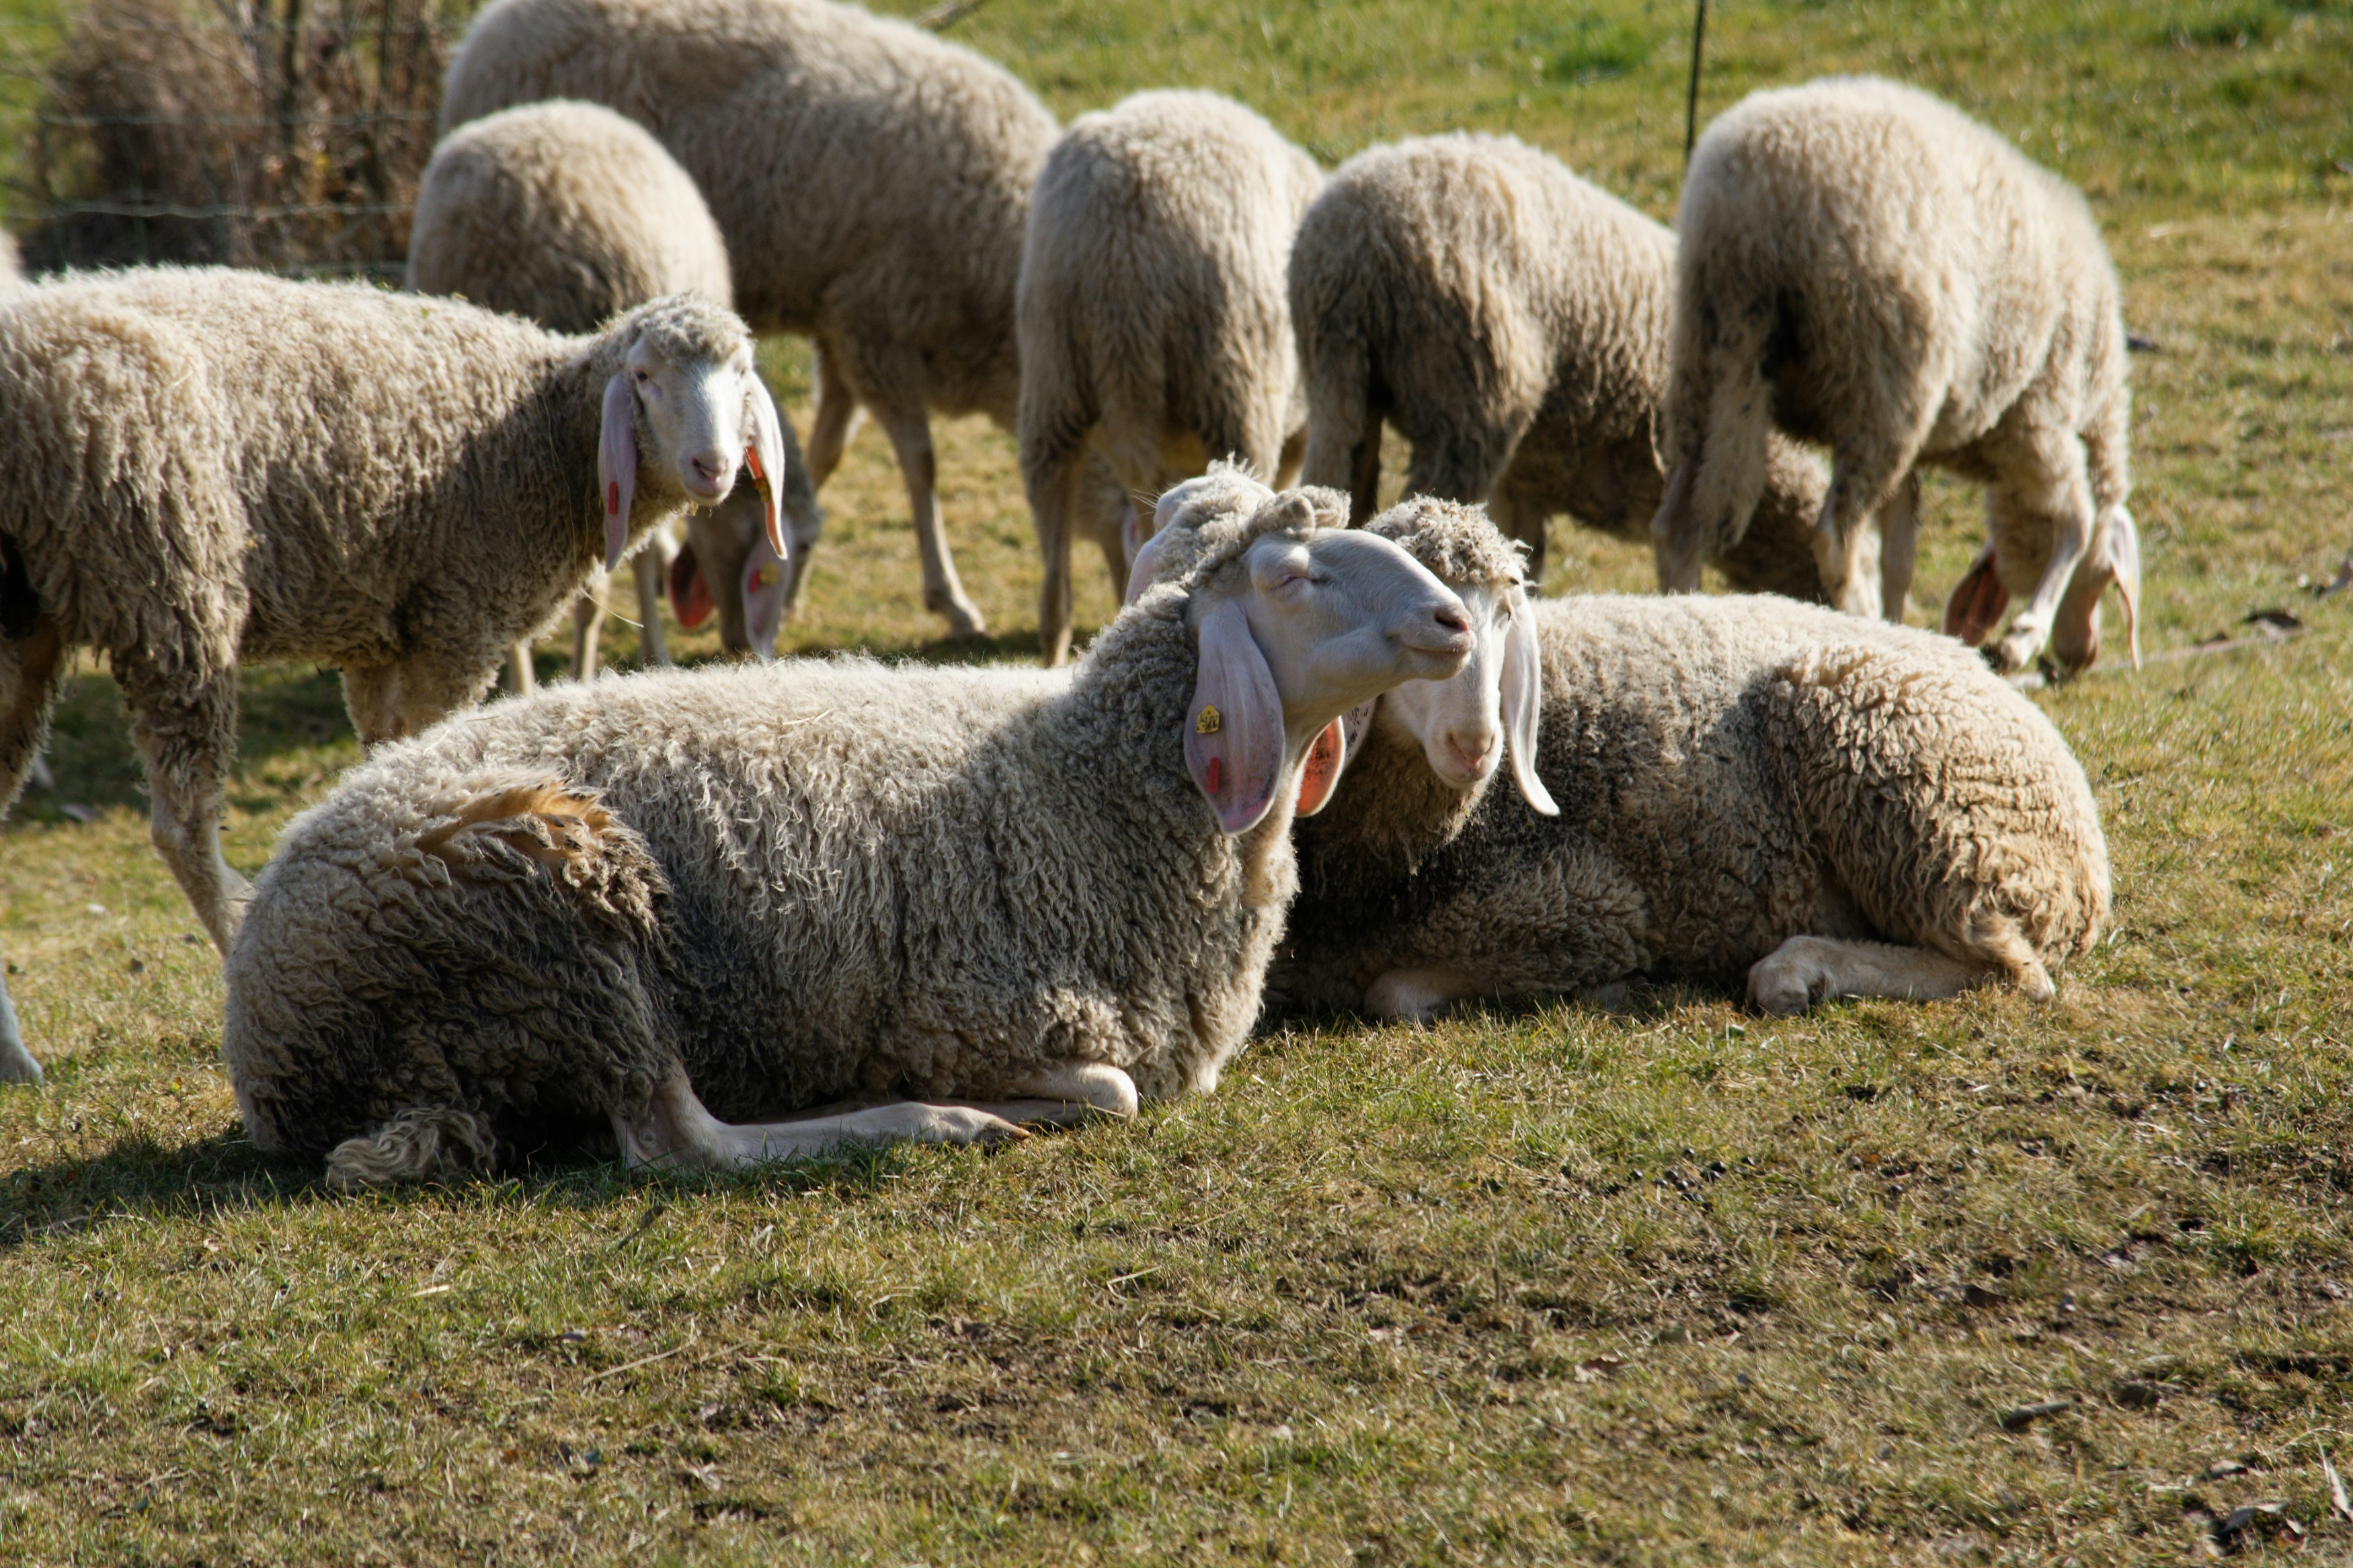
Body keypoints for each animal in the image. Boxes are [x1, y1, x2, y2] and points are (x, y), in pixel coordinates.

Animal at [0, 268, 792, 1083]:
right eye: (643, 377)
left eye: (741, 374)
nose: (714, 468)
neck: (543, 437)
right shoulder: (457, 620)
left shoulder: (379, 638)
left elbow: (386, 759)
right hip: (169, 577)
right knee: (184, 827)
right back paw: (233, 960)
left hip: (25, 620)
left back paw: (15, 1057)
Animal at [218, 467, 1477, 1186]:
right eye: (1296, 574)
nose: (1452, 620)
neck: (1087, 781)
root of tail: (260, 1031)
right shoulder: (975, 1010)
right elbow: (1117, 1092)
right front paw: (999, 1106)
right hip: (555, 904)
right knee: (676, 1141)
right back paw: (934, 1120)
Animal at [442, 0, 1061, 643]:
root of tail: (485, 31)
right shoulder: (874, 328)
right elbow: (922, 466)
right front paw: (951, 599)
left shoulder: (841, 328)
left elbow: (826, 449)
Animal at [1275, 496, 2111, 1023]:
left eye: (1505, 615)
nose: (1476, 741)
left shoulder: (1584, 906)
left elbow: (1394, 994)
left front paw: (1608, 990)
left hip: (1918, 795)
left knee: (2008, 968)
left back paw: (1796, 970)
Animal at [1653, 75, 2141, 673]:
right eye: (2109, 582)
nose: (2082, 656)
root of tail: (1749, 197)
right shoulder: (2038, 420)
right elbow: (2076, 519)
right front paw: (2021, 636)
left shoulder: (1925, 450)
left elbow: (1901, 557)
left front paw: (1905, 630)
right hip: (1881, 381)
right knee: (1835, 537)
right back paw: (1856, 616)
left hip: (1706, 358)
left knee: (1677, 527)